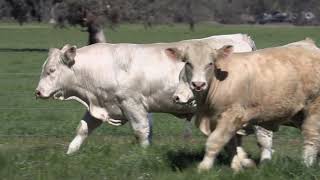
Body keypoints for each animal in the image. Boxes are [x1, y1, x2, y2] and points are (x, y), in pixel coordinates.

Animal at [34, 34, 270, 162]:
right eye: (45, 68)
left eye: (51, 70)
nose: (38, 92)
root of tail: (241, 38)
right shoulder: (102, 105)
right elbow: (82, 129)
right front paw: (70, 153)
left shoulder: (132, 104)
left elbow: (141, 131)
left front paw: (145, 154)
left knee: (263, 132)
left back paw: (266, 159)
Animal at [171, 38, 320, 172]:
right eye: (188, 63)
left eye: (210, 63)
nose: (198, 84)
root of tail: (309, 44)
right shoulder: (218, 119)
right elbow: (230, 145)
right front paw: (238, 166)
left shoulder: (232, 115)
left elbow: (215, 141)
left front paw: (204, 167)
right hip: (299, 114)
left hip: (313, 108)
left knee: (311, 137)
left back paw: (306, 165)